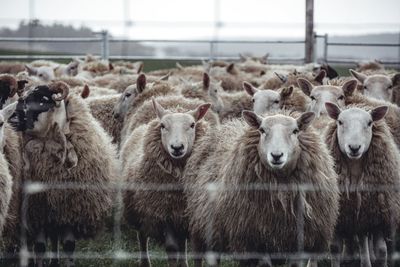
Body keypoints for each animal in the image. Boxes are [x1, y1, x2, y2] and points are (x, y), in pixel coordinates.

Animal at [123, 99, 212, 267]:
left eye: (192, 125)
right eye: (163, 126)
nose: (177, 147)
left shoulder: (189, 215)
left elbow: (194, 249)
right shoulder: (164, 213)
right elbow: (171, 248)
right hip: (140, 209)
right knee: (142, 237)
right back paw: (145, 262)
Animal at [184, 110, 338, 266]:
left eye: (295, 131)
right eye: (262, 130)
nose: (276, 155)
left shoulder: (300, 243)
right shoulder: (250, 243)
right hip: (200, 229)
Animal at [324, 102, 400, 267]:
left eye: (370, 123)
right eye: (340, 122)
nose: (354, 148)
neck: (354, 170)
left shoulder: (377, 217)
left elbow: (381, 251)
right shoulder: (339, 217)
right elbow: (334, 248)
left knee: (363, 240)